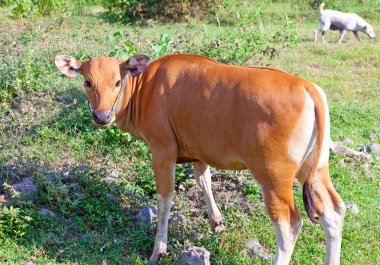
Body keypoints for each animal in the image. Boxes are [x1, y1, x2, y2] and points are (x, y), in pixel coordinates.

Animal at [55, 53, 344, 264]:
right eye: (87, 82)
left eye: (117, 82)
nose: (102, 116)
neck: (146, 87)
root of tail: (306, 86)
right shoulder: (198, 152)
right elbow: (204, 180)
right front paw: (216, 222)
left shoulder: (162, 151)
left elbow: (164, 201)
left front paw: (158, 250)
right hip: (314, 169)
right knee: (333, 212)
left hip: (273, 176)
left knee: (289, 225)